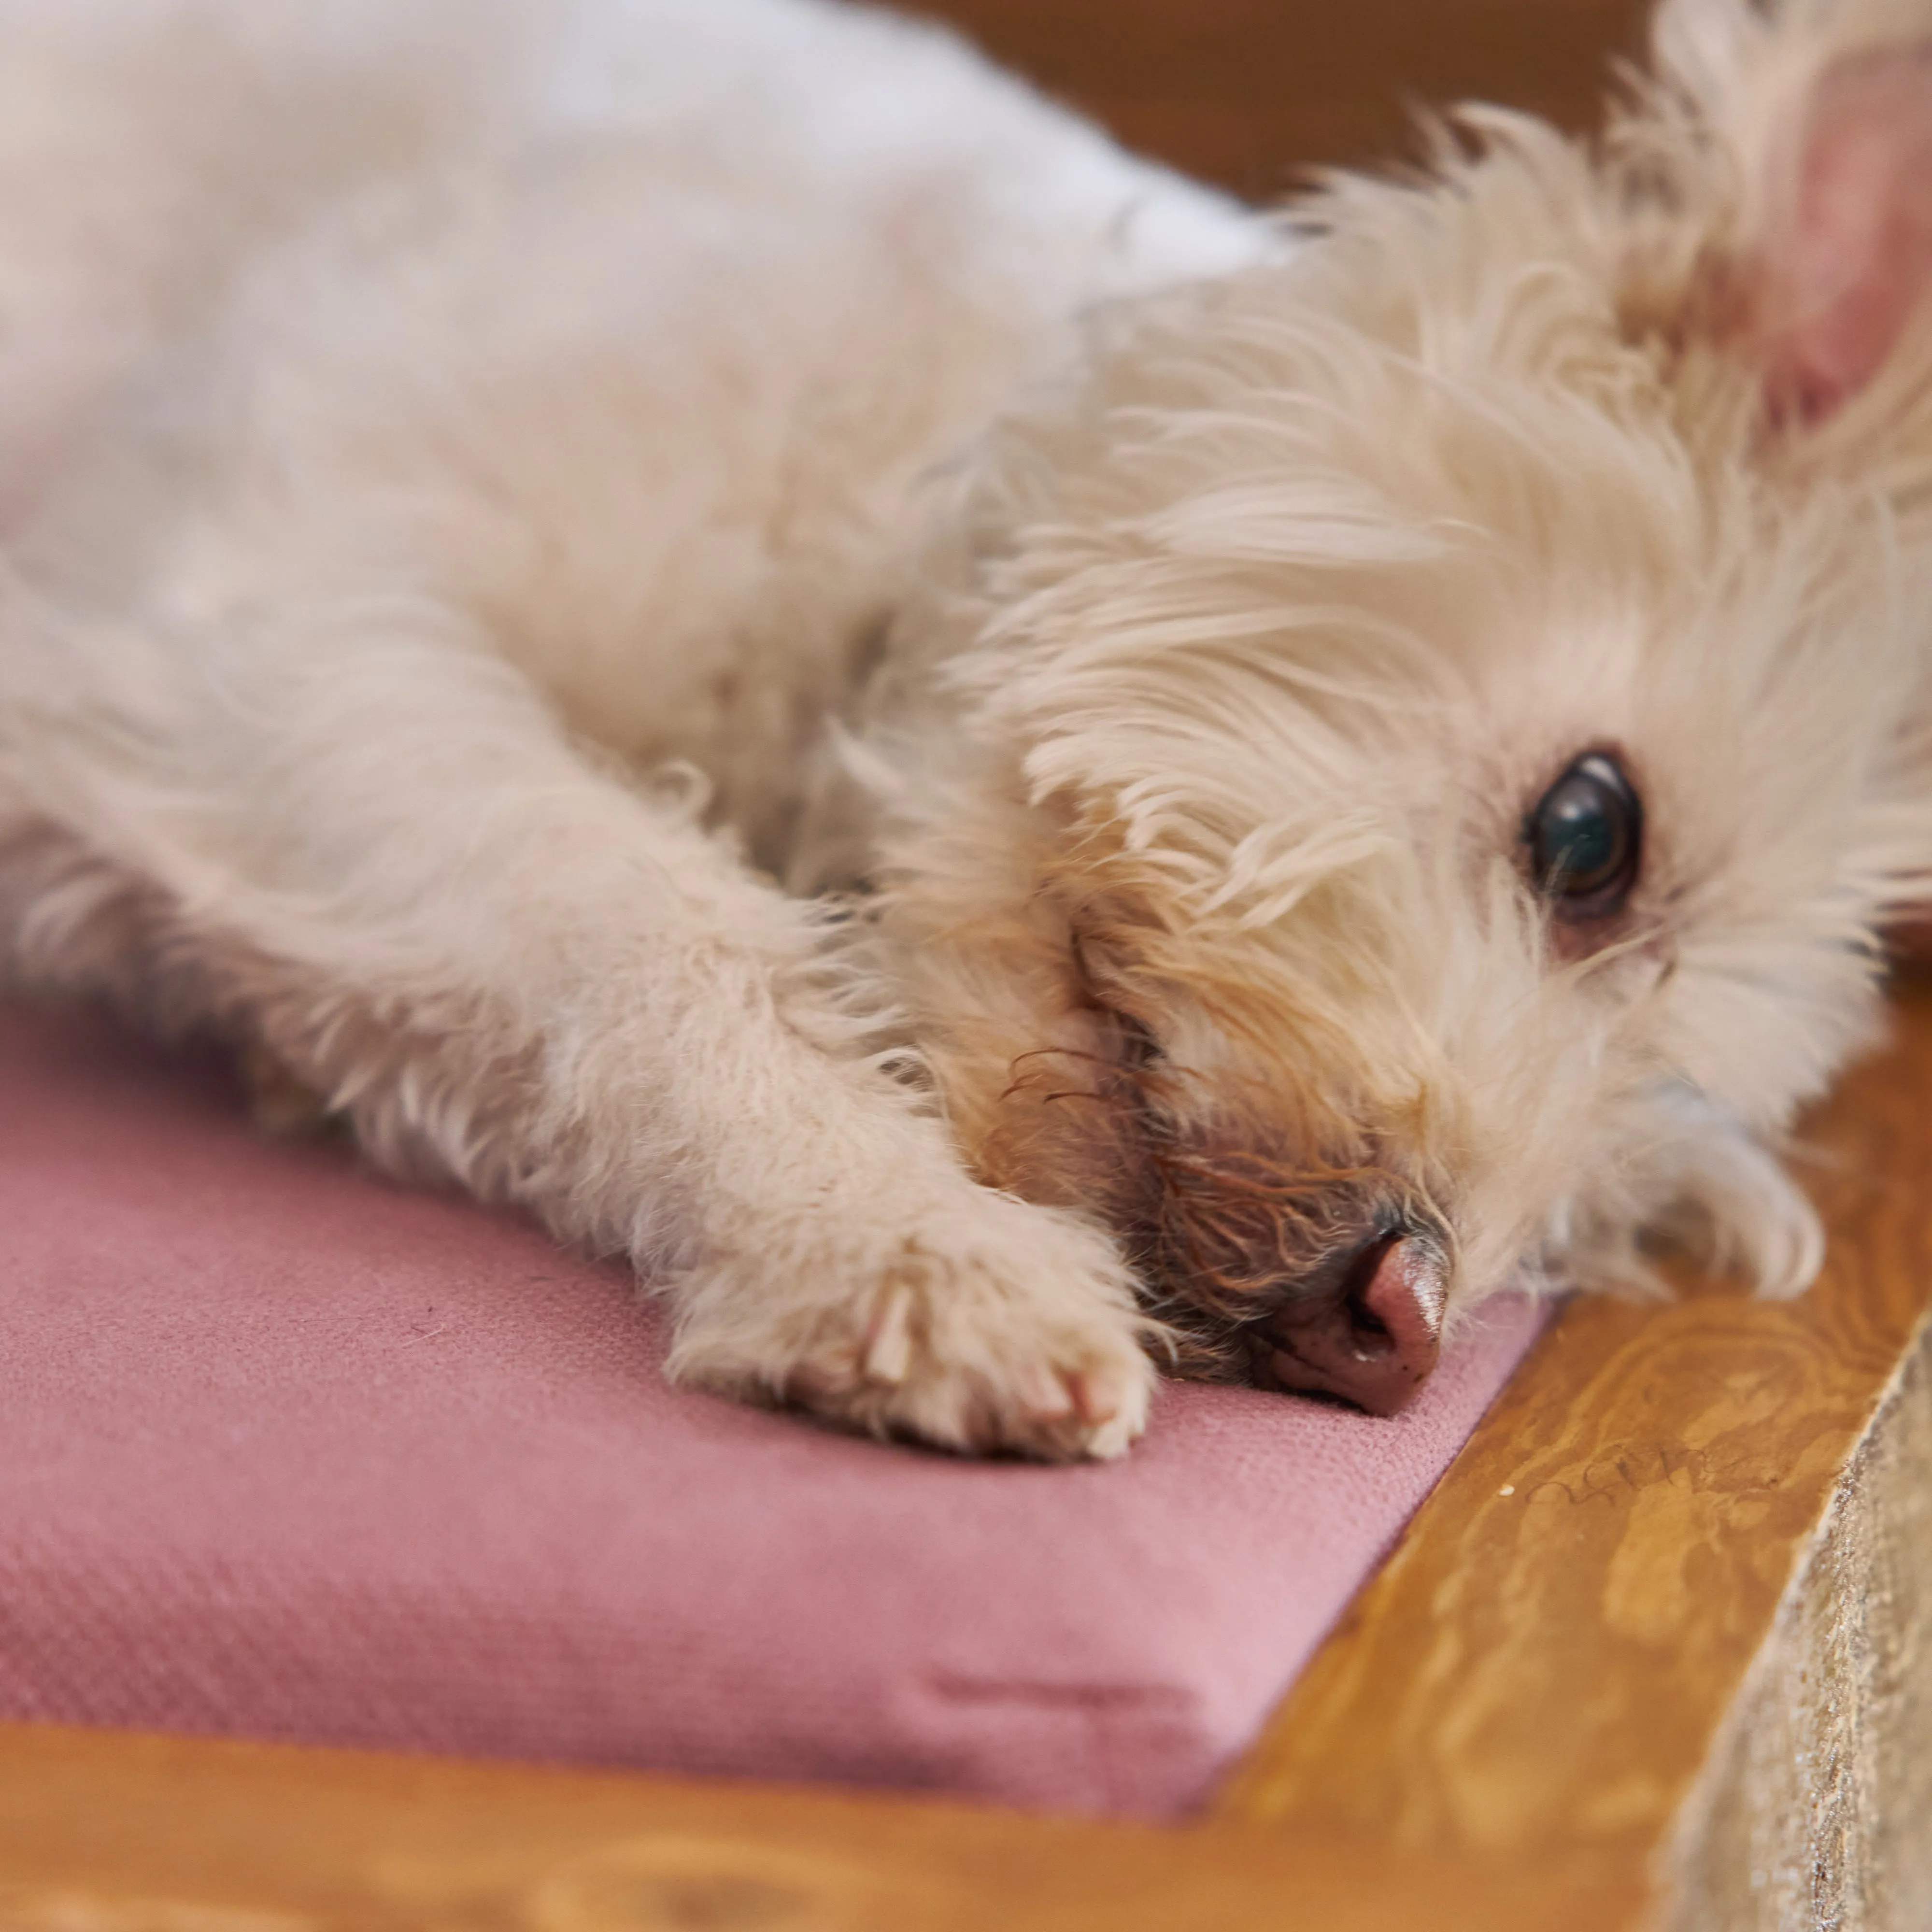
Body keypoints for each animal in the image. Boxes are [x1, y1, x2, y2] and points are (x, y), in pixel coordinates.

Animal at [3, 0, 1932, 1453]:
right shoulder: (236, 619)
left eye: (1607, 1183)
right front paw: (895, 1235)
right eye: (1591, 831)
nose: (1387, 1325)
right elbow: (643, 910)